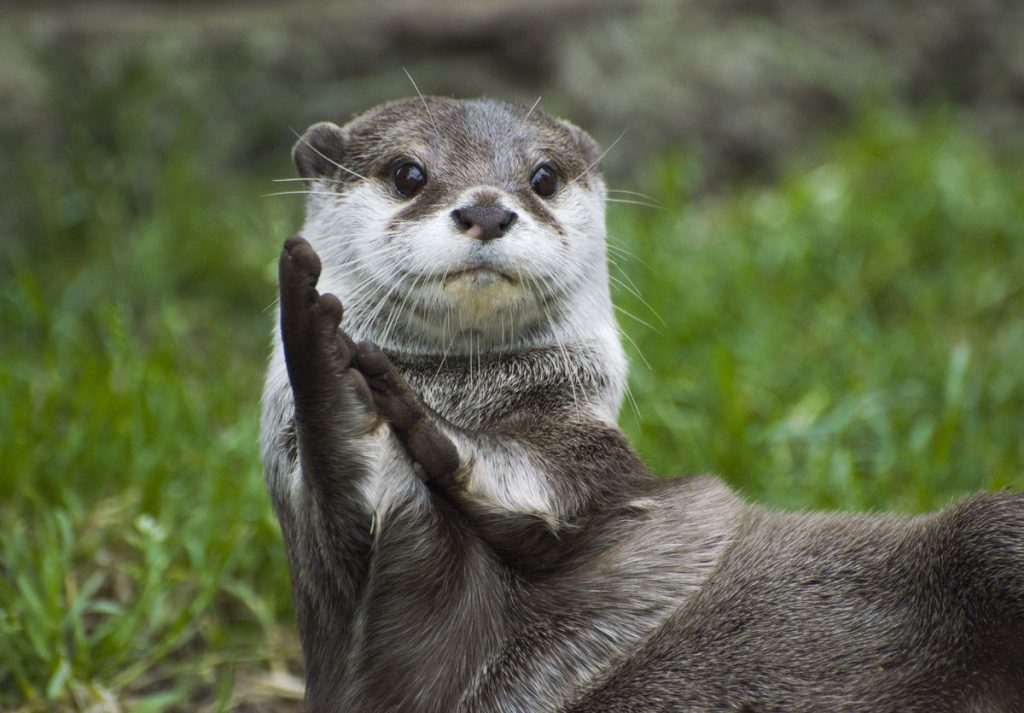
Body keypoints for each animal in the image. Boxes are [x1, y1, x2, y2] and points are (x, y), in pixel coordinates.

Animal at [262, 97, 1024, 708]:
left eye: (543, 177)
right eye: (408, 174)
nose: (485, 208)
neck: (474, 395)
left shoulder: (595, 460)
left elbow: (543, 482)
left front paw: (411, 412)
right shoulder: (367, 612)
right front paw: (327, 356)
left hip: (992, 531)